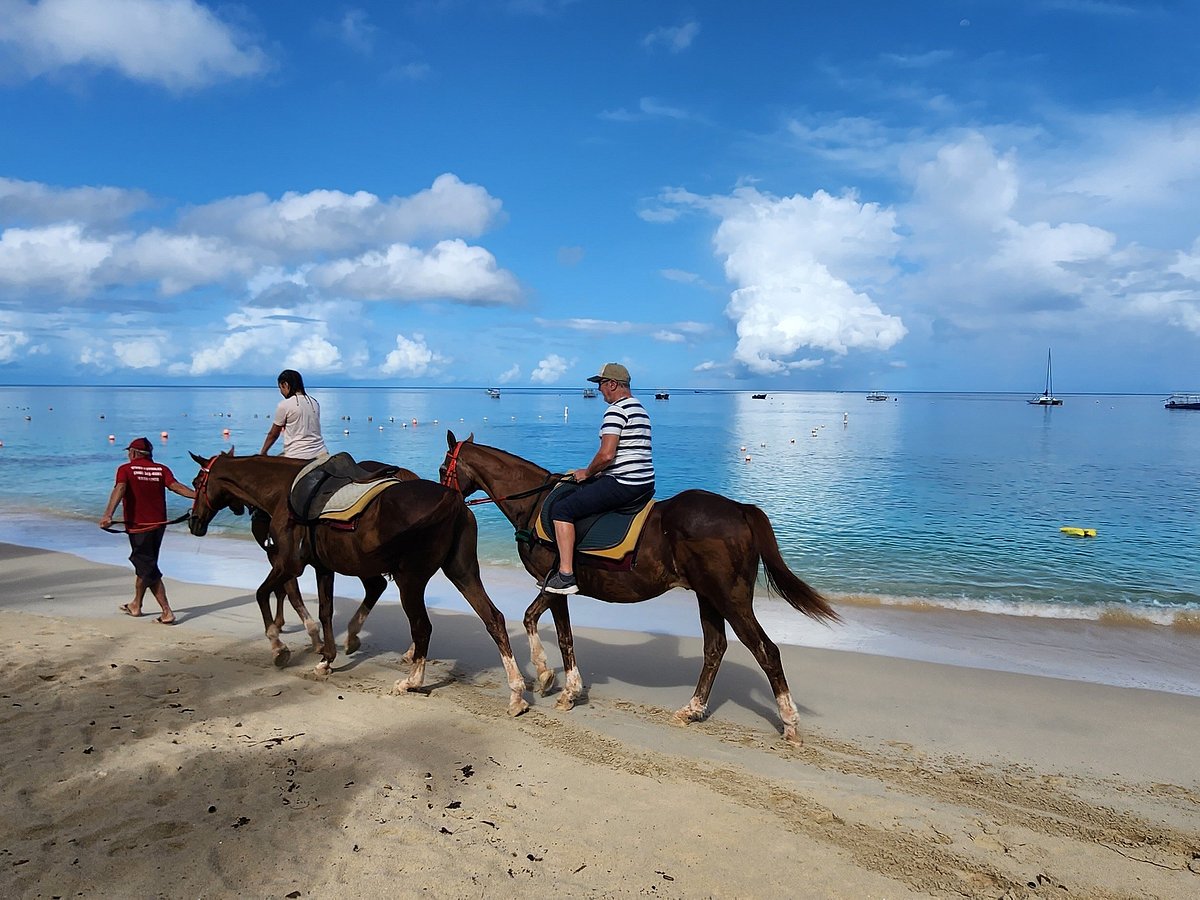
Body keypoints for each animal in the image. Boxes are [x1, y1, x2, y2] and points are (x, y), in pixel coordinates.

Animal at [189, 453, 528, 715]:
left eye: (195, 483)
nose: (193, 521)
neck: (285, 490)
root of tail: (452, 498)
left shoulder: (288, 564)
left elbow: (262, 594)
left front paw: (278, 647)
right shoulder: (322, 567)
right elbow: (325, 611)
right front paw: (326, 659)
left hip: (410, 580)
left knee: (422, 627)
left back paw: (411, 681)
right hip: (463, 573)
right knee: (493, 619)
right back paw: (516, 693)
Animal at [436, 434, 840, 744]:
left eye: (443, 469)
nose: (443, 498)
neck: (535, 504)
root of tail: (739, 509)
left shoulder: (553, 583)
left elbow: (535, 620)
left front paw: (550, 678)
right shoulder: (556, 590)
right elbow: (562, 635)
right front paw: (564, 686)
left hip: (730, 598)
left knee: (766, 651)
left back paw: (789, 724)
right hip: (708, 597)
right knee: (715, 649)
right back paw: (692, 710)